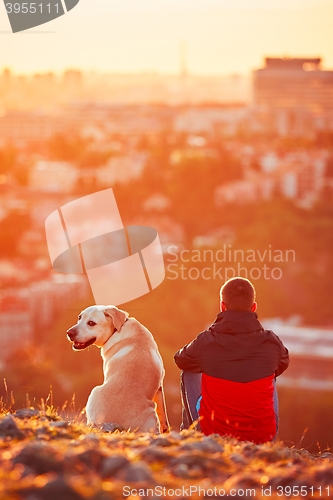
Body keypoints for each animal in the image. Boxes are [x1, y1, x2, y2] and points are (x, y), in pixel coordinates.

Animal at [65, 304, 169, 434]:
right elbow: (163, 412)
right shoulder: (160, 386)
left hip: (94, 391)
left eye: (91, 323)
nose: (69, 333)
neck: (117, 329)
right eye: (80, 317)